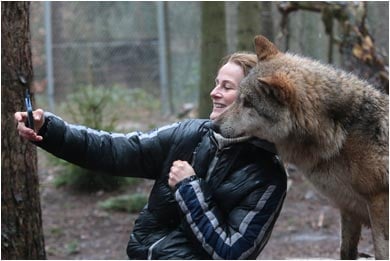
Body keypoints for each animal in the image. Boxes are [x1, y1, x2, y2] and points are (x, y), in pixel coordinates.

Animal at [215, 35, 388, 258]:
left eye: (248, 103)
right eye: (237, 99)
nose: (214, 125)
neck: (340, 133)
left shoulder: (378, 202)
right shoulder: (348, 207)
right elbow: (346, 251)